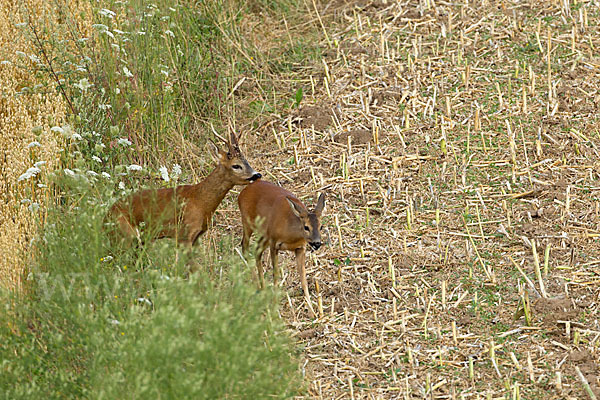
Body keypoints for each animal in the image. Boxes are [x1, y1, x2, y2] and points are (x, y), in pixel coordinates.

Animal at [108, 131, 260, 245]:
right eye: (236, 165)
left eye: (247, 161)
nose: (257, 175)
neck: (200, 201)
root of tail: (107, 215)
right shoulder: (184, 234)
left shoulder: (196, 236)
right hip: (128, 234)